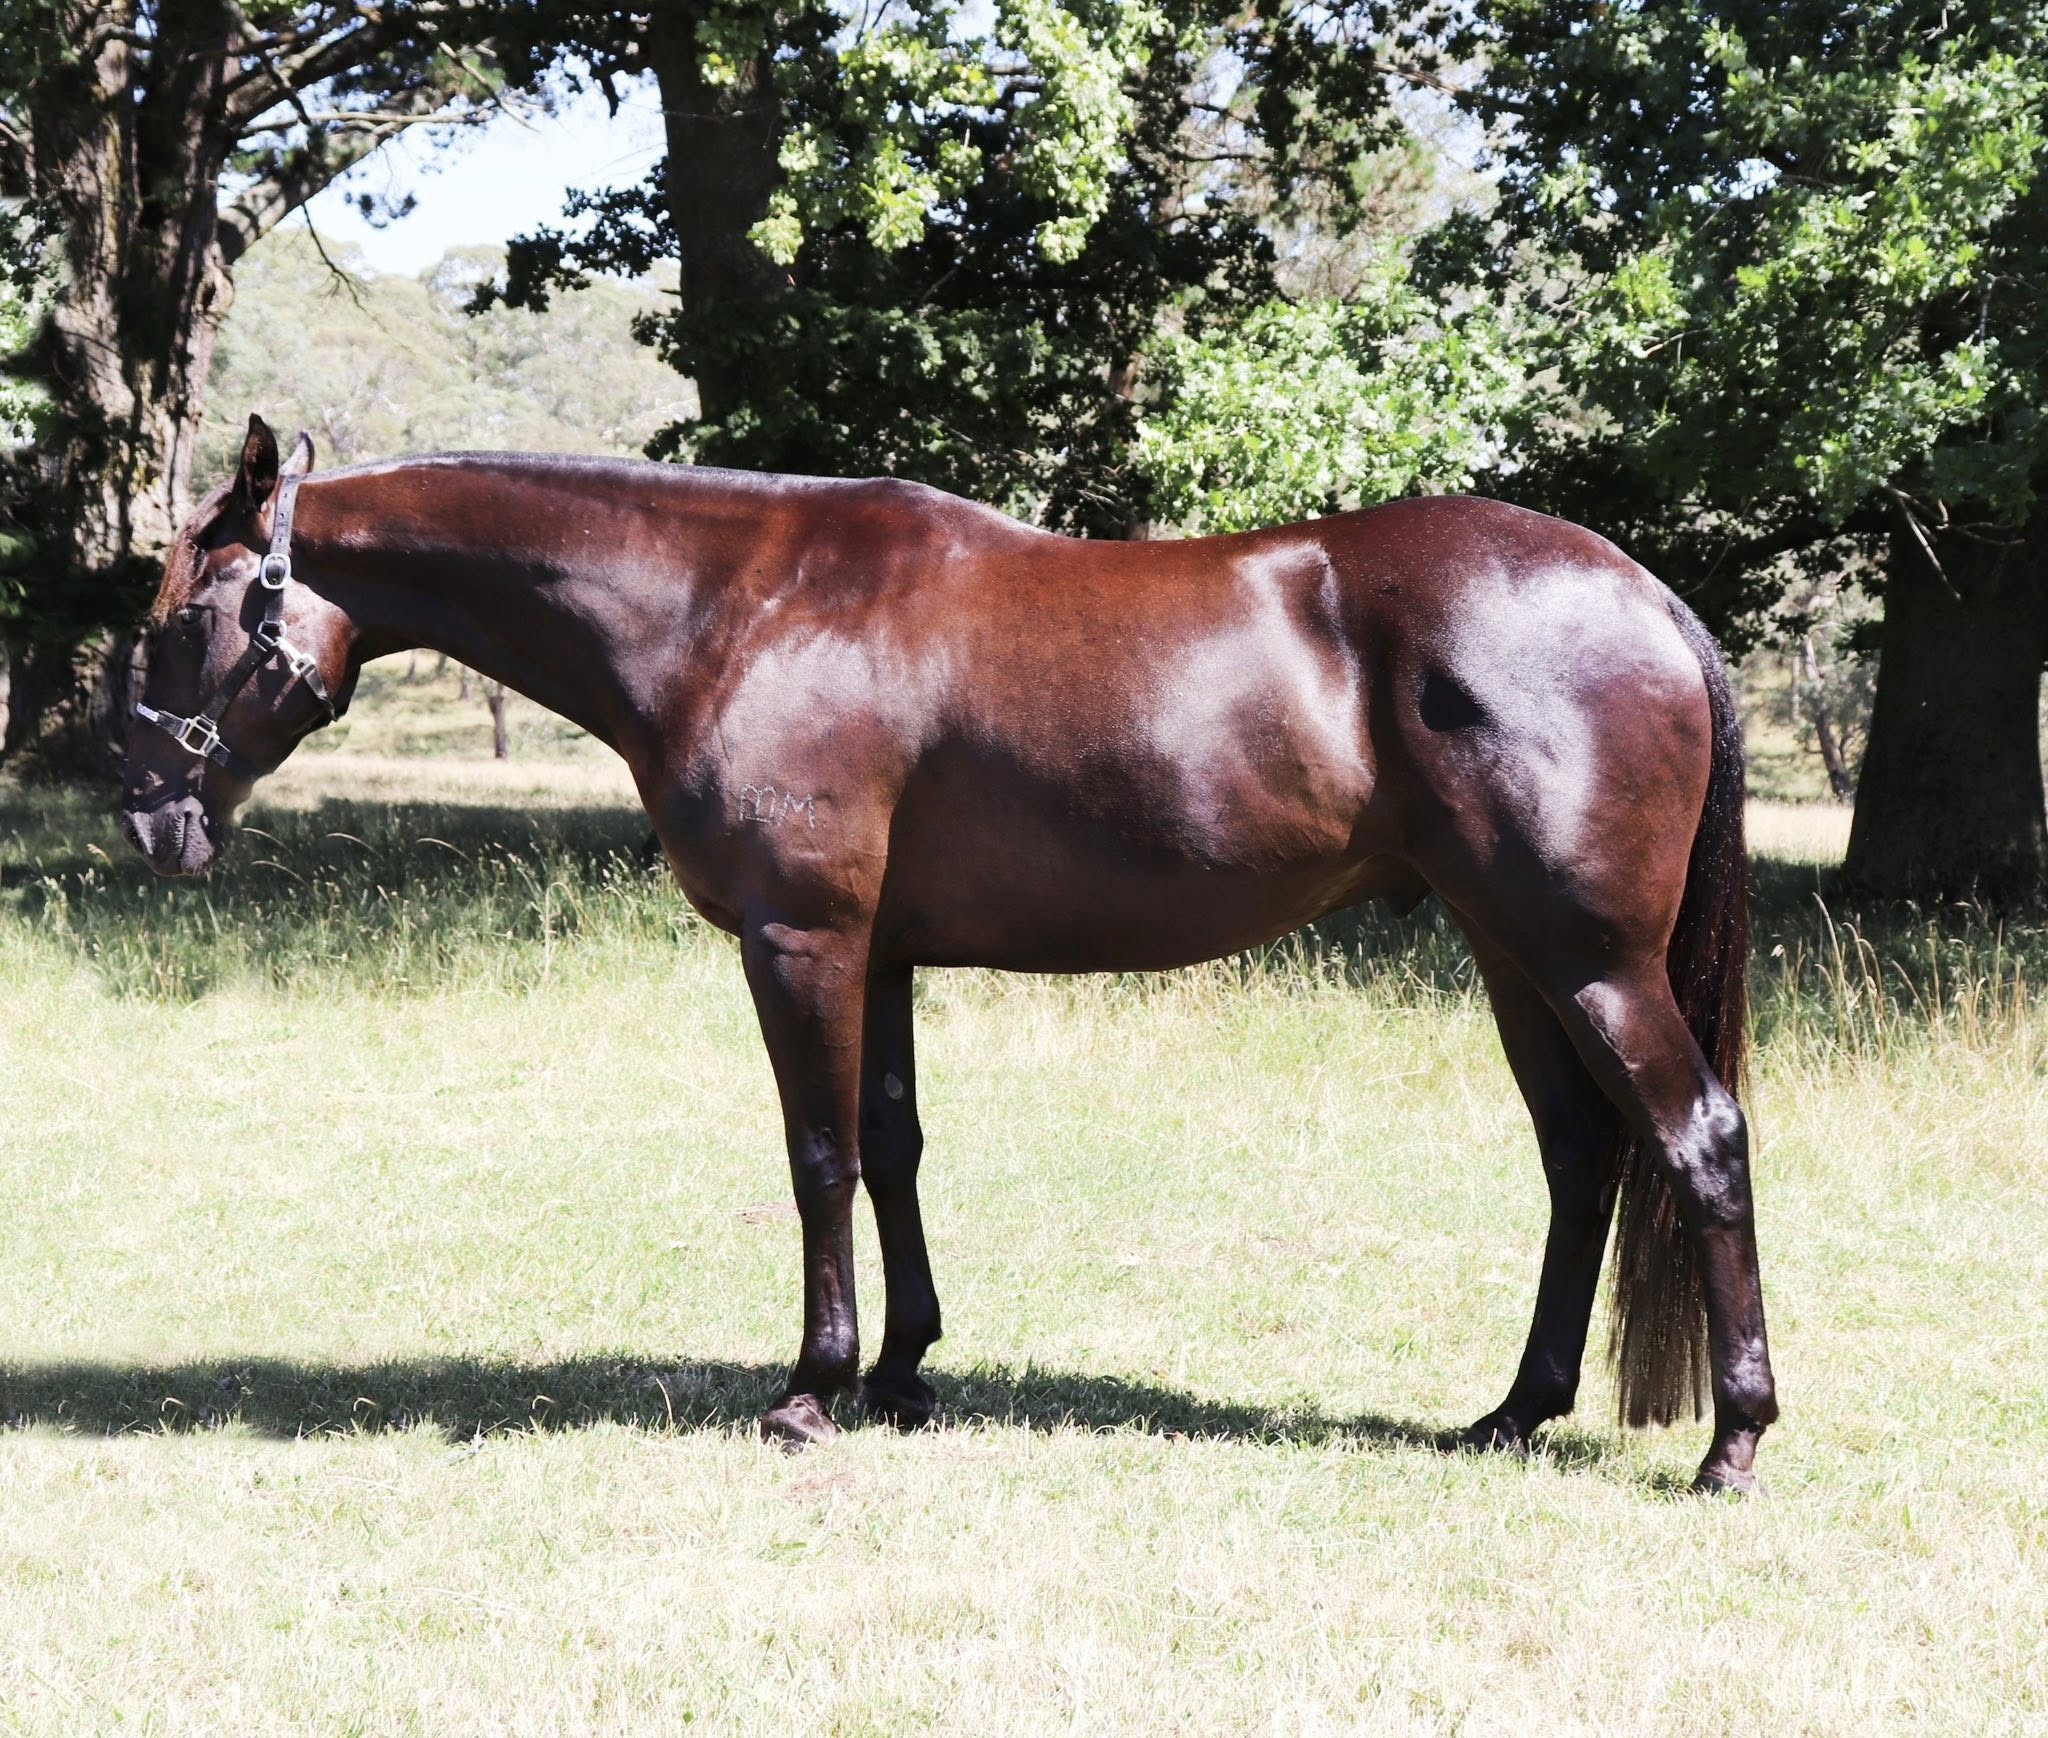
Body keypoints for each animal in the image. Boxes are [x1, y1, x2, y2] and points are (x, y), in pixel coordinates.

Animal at [119, 415, 1777, 1493]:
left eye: (187, 618)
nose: (147, 815)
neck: (737, 607)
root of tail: (1646, 594)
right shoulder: (887, 951)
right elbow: (895, 1141)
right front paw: (906, 1367)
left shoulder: (803, 938)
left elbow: (818, 1153)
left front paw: (812, 1389)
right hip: (1513, 952)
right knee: (1582, 1154)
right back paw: (1513, 1413)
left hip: (1587, 956)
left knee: (1695, 1138)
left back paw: (1734, 1439)